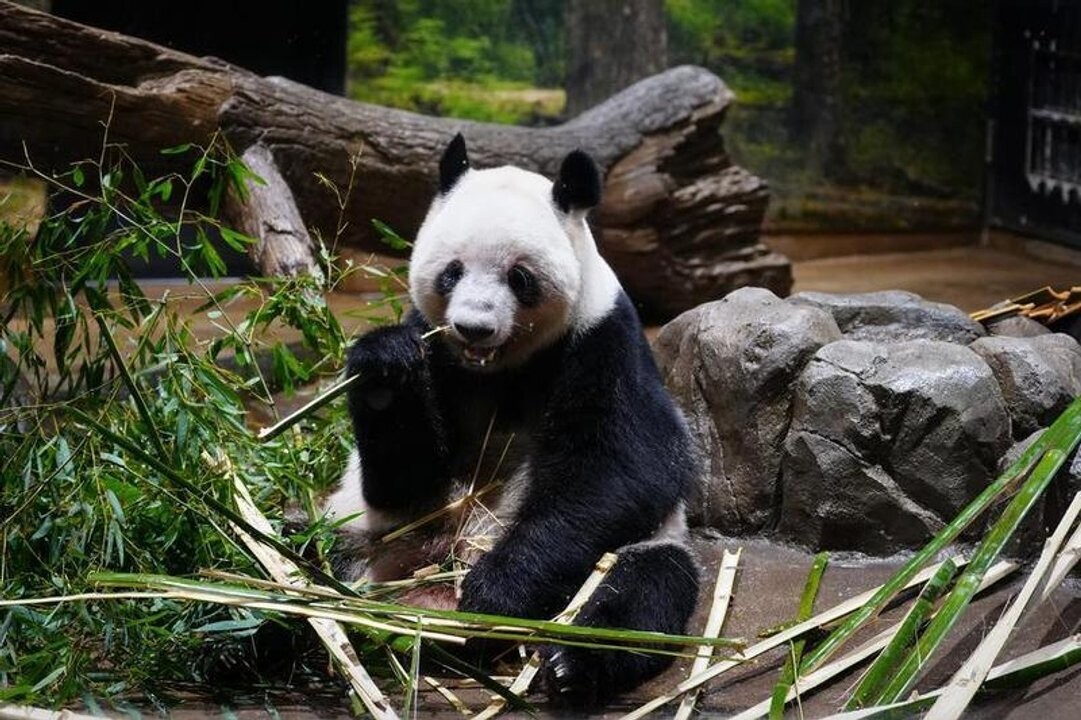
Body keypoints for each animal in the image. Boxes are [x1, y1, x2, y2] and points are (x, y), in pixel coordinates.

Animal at [324, 134, 701, 707]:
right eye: (451, 271)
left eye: (519, 278)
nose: (473, 327)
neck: (498, 369)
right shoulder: (438, 355)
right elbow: (405, 481)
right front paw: (385, 367)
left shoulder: (602, 341)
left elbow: (623, 469)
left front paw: (495, 591)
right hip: (357, 537)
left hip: (642, 548)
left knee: (644, 589)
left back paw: (572, 665)